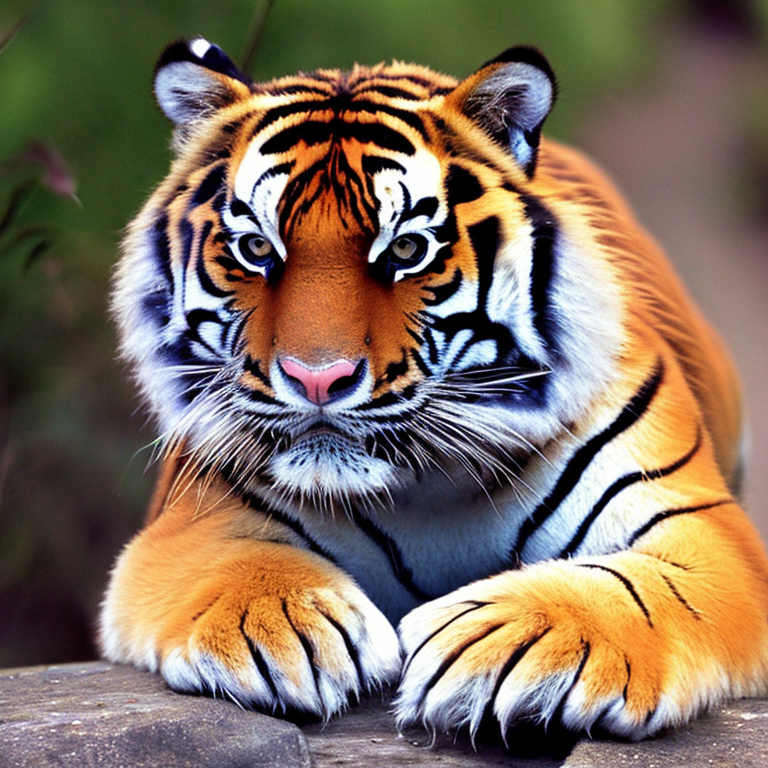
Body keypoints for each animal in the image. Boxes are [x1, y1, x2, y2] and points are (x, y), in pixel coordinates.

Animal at [99, 37, 768, 742]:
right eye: (256, 248)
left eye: (406, 250)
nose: (317, 378)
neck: (426, 487)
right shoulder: (187, 522)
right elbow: (237, 566)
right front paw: (281, 629)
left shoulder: (705, 532)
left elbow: (635, 588)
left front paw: (513, 641)